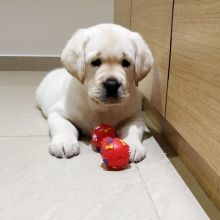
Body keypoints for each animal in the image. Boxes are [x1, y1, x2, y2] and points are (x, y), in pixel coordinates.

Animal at [36, 23, 153, 162]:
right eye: (95, 62)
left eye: (126, 63)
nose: (112, 85)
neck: (101, 108)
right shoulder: (58, 113)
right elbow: (64, 126)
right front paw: (64, 142)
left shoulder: (135, 116)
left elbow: (133, 129)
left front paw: (132, 145)